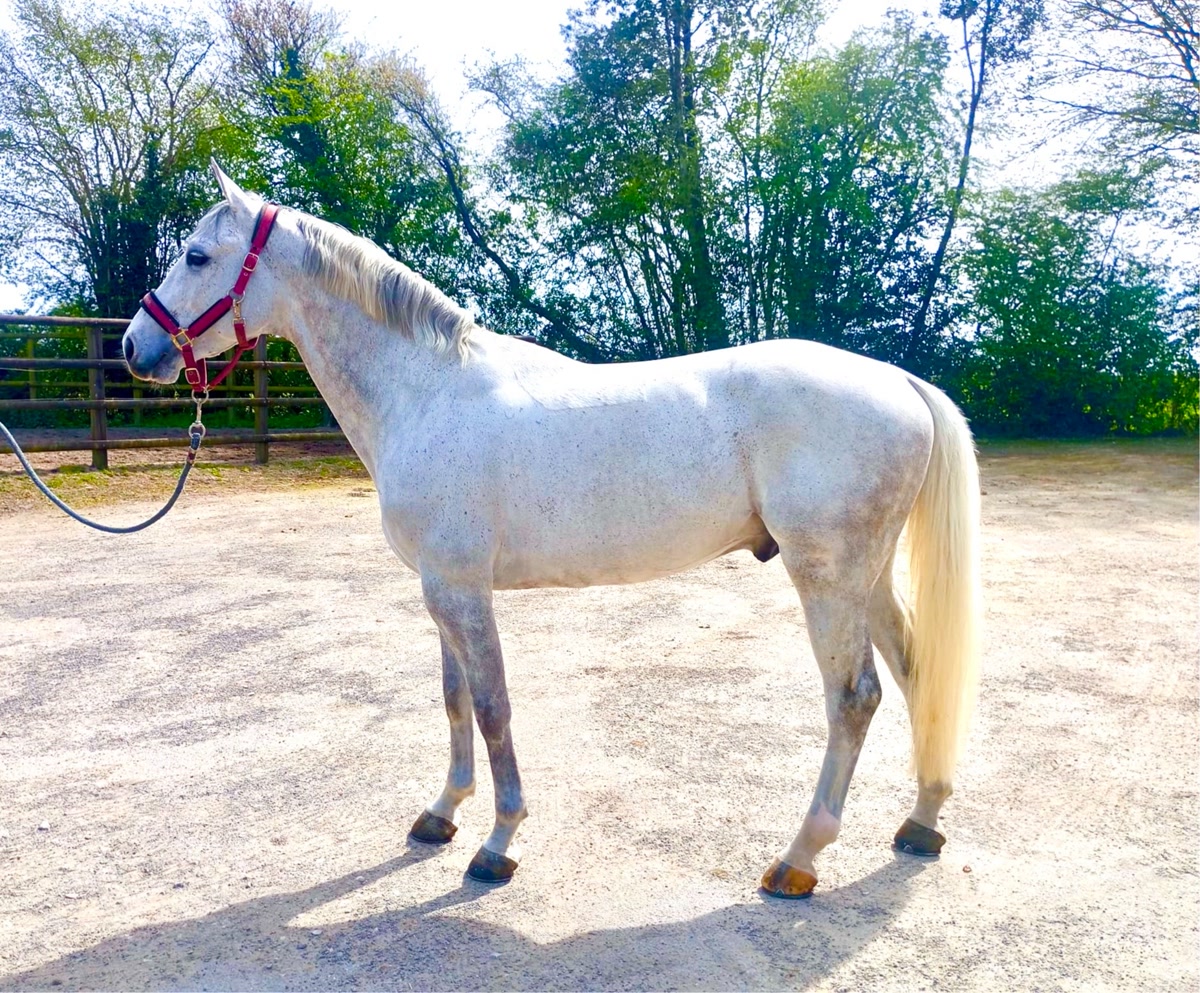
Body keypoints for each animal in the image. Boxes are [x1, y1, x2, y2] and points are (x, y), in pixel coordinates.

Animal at [121, 162, 981, 898]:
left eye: (197, 254)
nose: (137, 346)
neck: (427, 392)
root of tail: (898, 380)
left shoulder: (463, 590)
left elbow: (493, 706)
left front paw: (498, 842)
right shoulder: (440, 590)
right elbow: (454, 700)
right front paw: (443, 812)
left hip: (827, 577)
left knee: (854, 698)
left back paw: (799, 857)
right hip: (866, 577)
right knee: (913, 672)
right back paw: (921, 819)